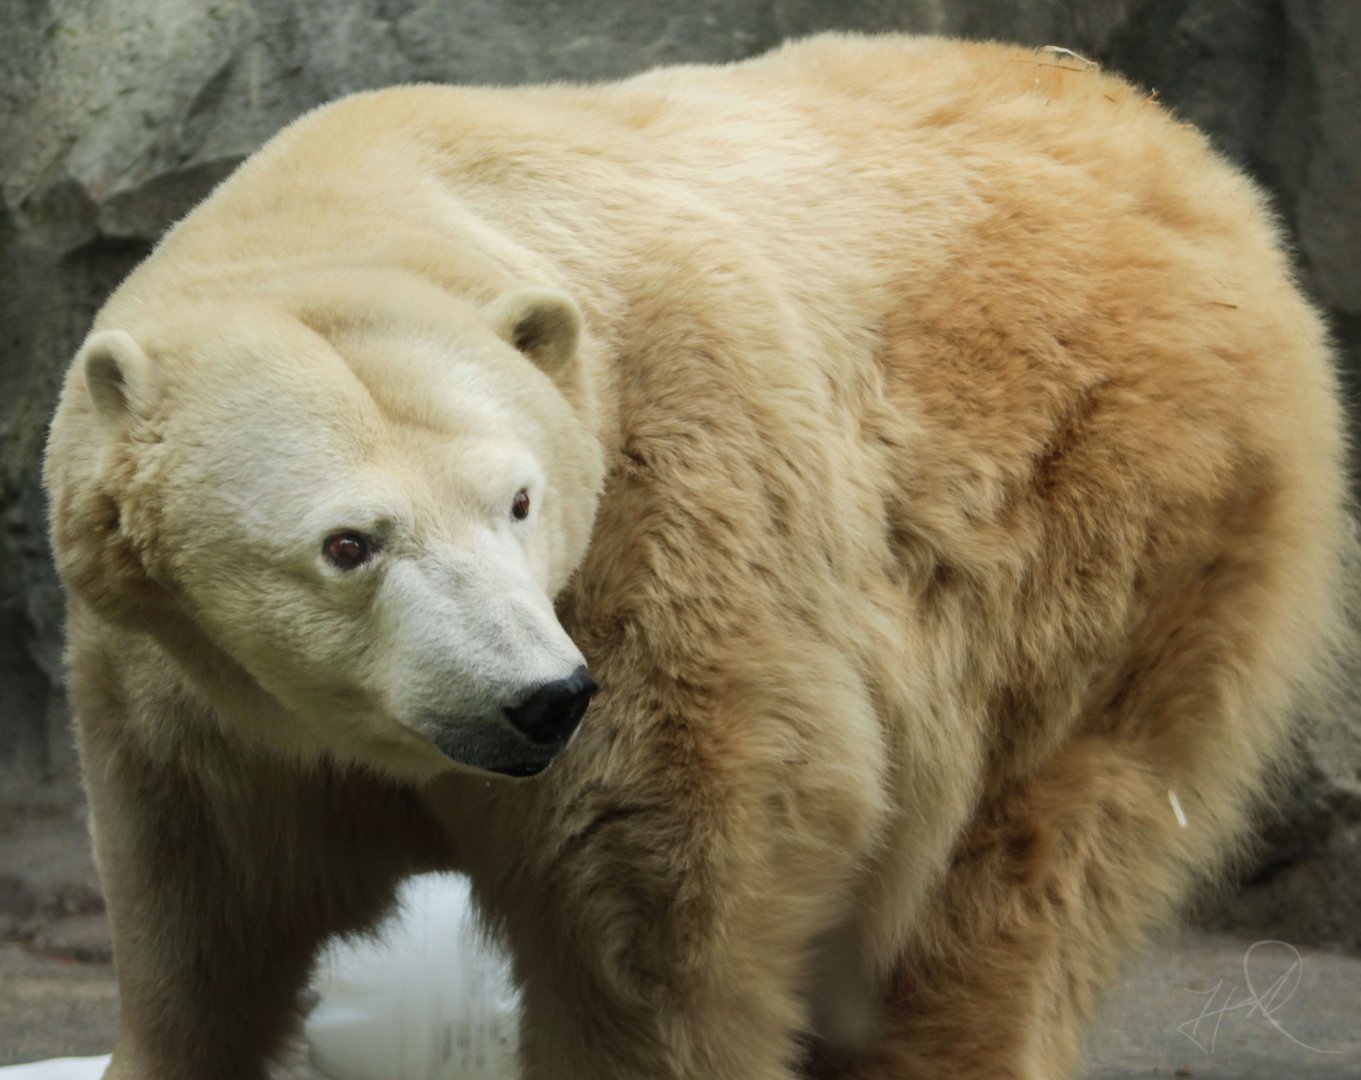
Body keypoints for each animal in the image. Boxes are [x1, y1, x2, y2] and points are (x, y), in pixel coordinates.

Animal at [43, 33, 1353, 1080]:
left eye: (517, 501)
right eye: (348, 543)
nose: (534, 699)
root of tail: (1177, 149)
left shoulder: (659, 505)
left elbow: (665, 886)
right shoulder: (190, 704)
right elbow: (200, 931)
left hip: (1101, 517)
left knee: (1017, 864)